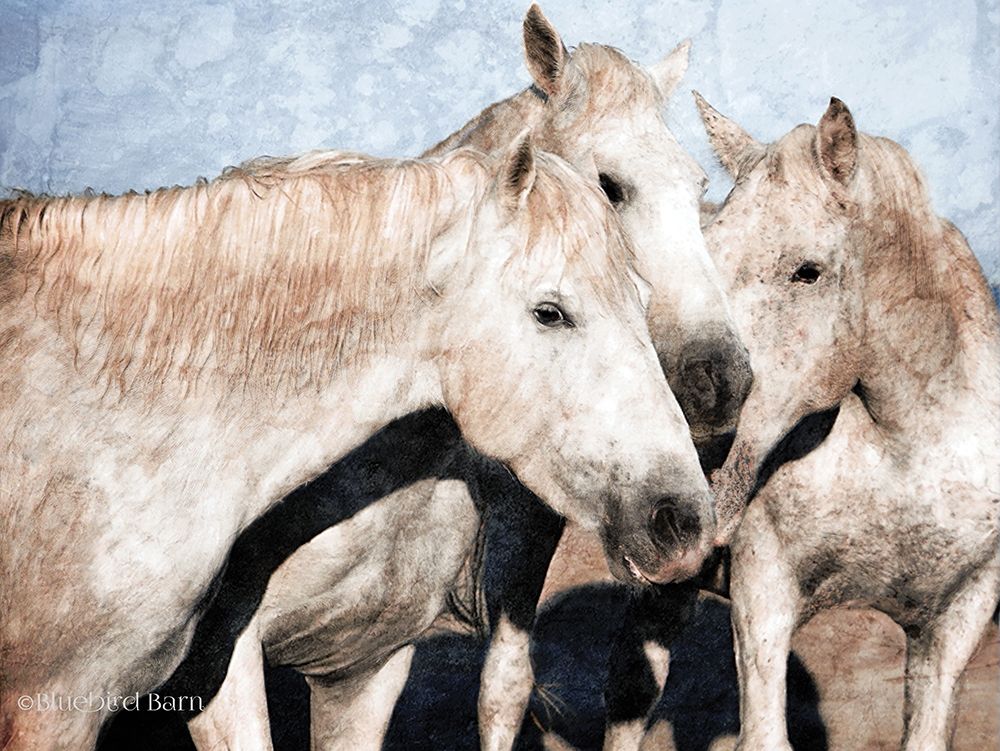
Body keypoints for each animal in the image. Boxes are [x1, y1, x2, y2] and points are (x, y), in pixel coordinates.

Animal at [169, 6, 751, 751]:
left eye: (698, 187)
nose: (723, 378)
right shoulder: (220, 672)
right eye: (610, 185)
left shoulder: (368, 660)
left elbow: (501, 691)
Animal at [600, 95, 1000, 751]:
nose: (687, 411)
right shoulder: (763, 596)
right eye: (709, 249)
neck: (905, 451)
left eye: (807, 272)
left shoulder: (956, 620)